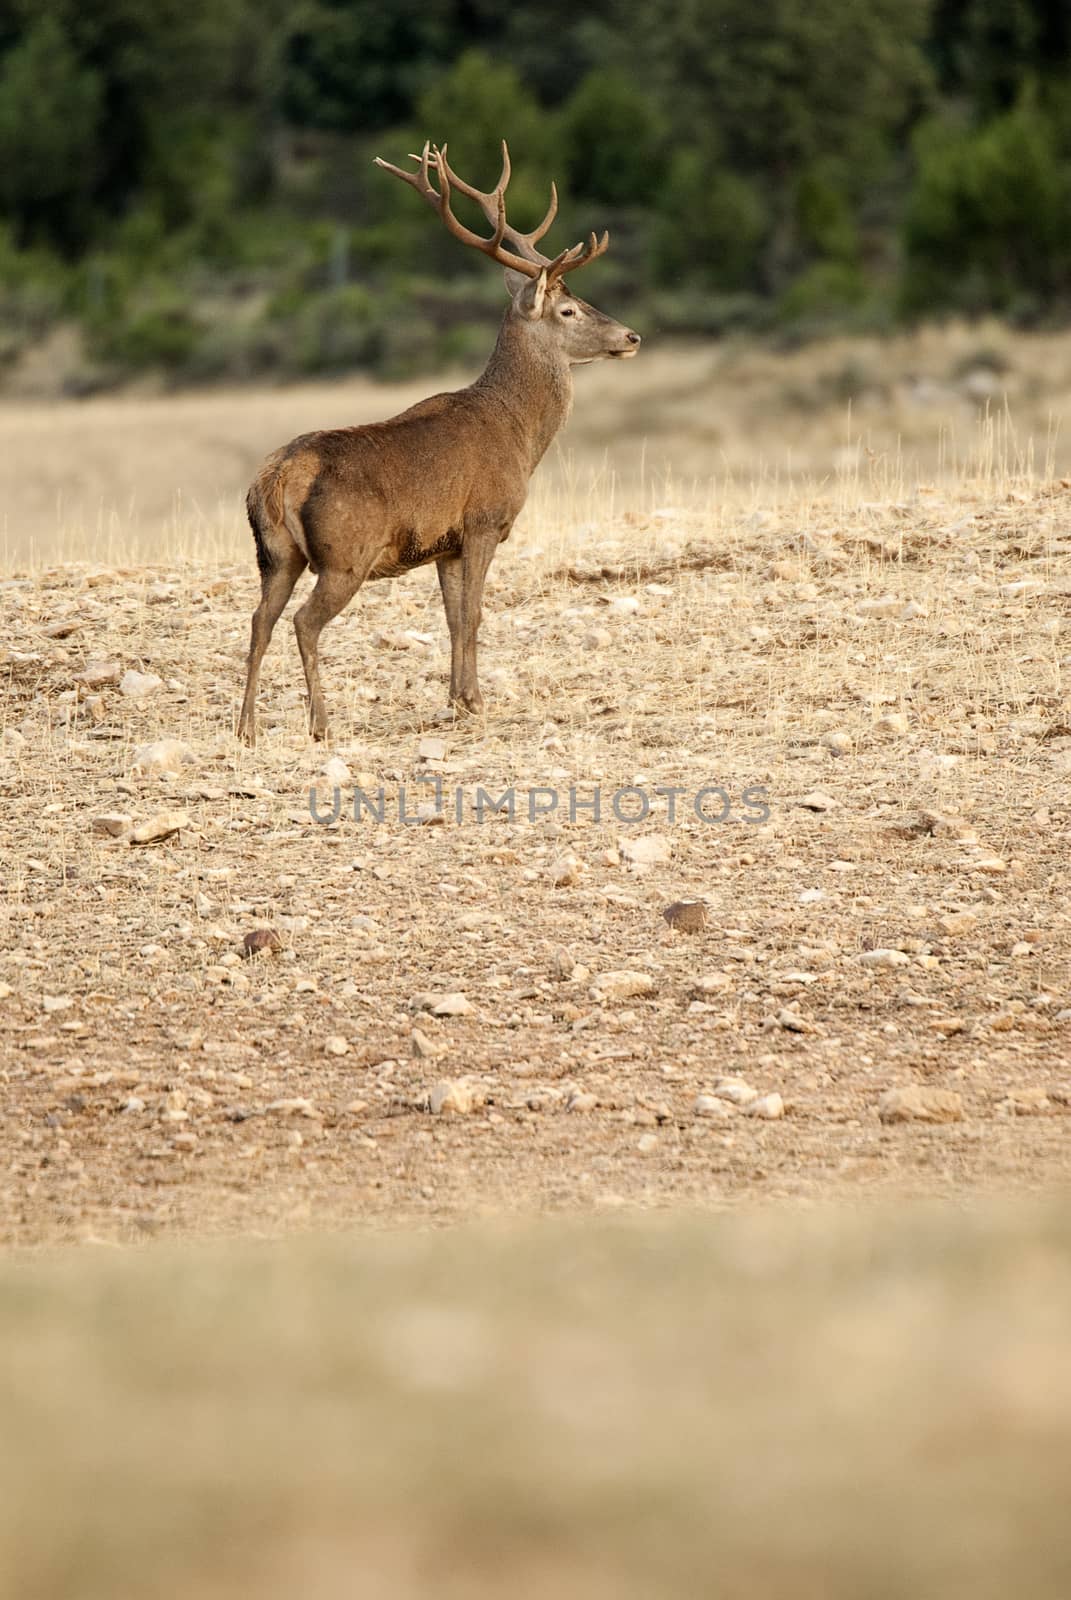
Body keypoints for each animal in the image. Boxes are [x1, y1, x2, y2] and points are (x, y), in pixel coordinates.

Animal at [235, 134, 633, 745]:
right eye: (568, 310)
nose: (631, 336)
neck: (520, 435)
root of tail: (278, 477)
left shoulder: (444, 543)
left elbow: (450, 614)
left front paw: (455, 698)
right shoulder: (484, 520)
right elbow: (474, 612)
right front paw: (475, 700)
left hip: (274, 554)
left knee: (260, 621)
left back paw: (247, 728)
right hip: (345, 554)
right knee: (303, 621)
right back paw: (320, 724)